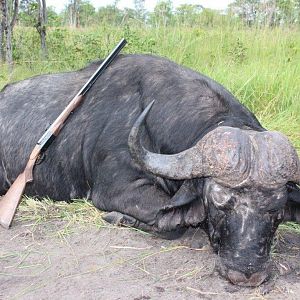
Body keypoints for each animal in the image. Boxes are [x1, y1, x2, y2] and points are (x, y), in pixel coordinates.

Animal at [0, 54, 298, 286]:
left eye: (277, 209)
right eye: (218, 203)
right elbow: (169, 223)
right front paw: (118, 218)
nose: (246, 273)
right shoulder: (117, 190)